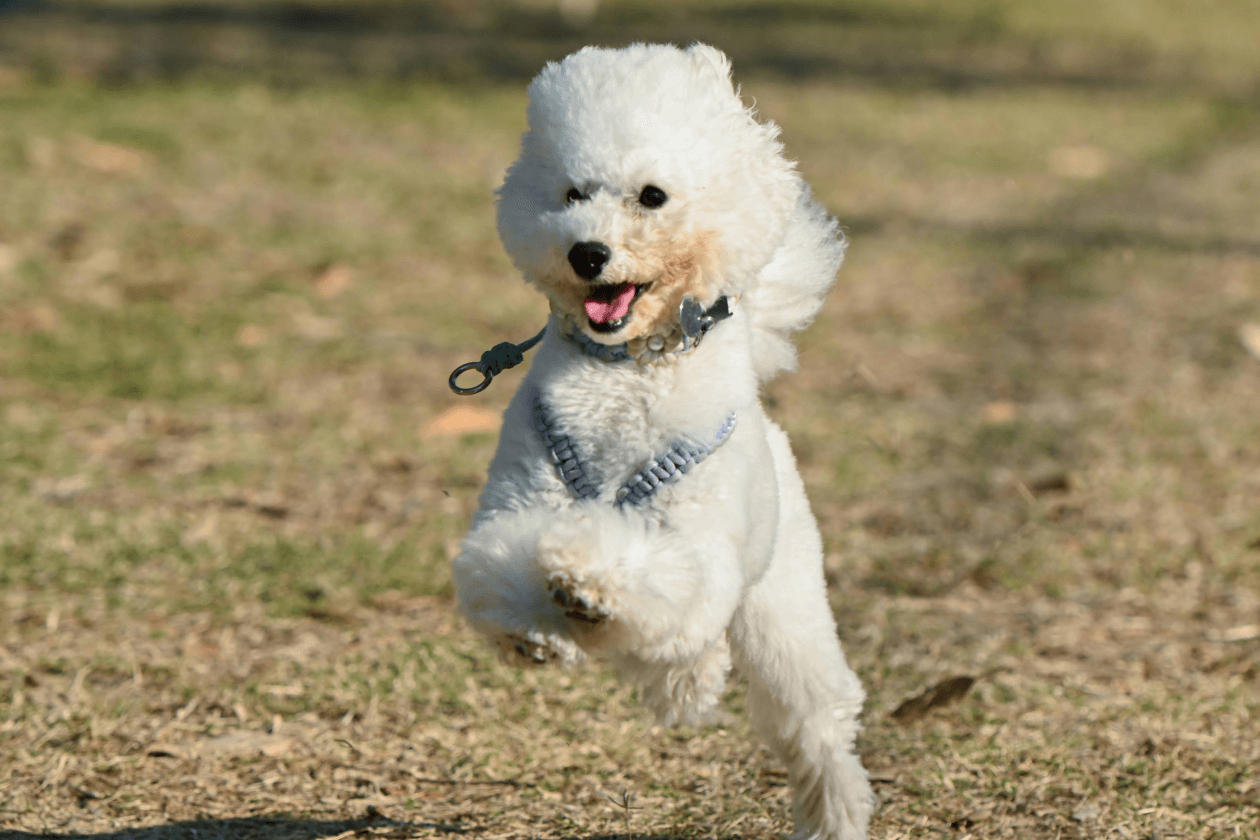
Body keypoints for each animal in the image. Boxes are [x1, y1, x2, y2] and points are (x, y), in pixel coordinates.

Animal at [453, 44, 876, 840]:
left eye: (651, 197)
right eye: (571, 193)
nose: (587, 253)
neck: (628, 370)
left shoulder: (693, 542)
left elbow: (647, 568)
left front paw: (584, 577)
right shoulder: (522, 497)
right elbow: (505, 559)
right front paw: (539, 627)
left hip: (782, 606)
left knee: (811, 719)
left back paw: (832, 811)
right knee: (694, 656)